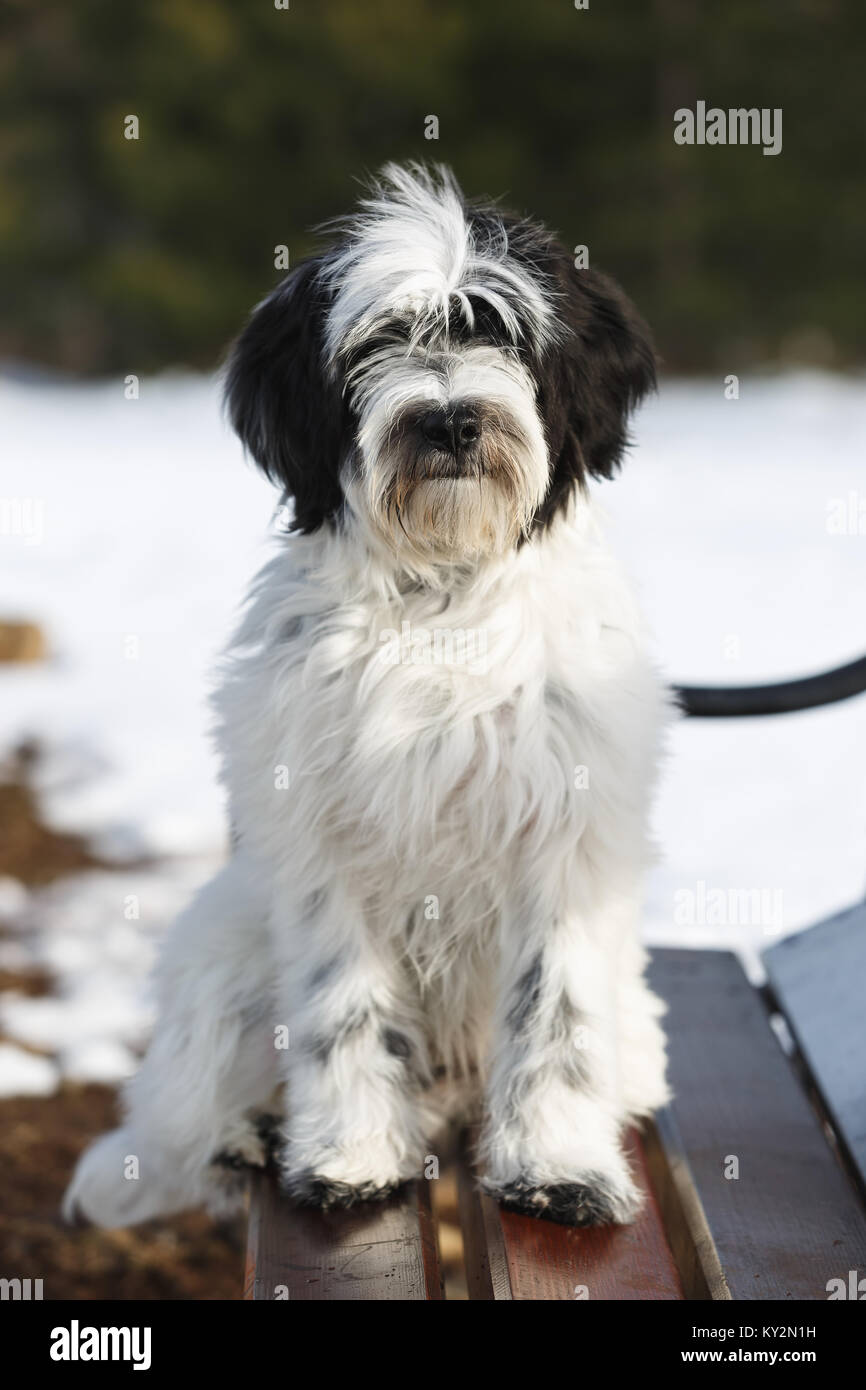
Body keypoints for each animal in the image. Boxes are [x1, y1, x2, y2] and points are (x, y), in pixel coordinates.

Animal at [64, 159, 670, 1228]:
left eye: (499, 330)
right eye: (379, 341)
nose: (450, 419)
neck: (442, 598)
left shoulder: (567, 838)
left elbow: (555, 1014)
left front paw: (559, 1165)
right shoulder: (322, 846)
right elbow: (341, 1011)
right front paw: (347, 1156)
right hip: (224, 950)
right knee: (185, 1109)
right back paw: (244, 1136)